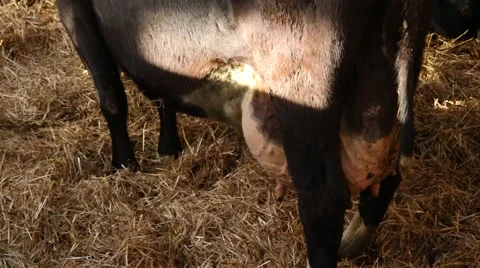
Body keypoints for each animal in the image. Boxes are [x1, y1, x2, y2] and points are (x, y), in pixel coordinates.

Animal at [56, 1, 436, 266]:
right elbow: (160, 91)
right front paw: (168, 148)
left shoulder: (76, 11)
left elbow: (112, 98)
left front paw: (123, 164)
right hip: (385, 89)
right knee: (390, 174)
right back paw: (352, 243)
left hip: (303, 89)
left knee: (322, 201)